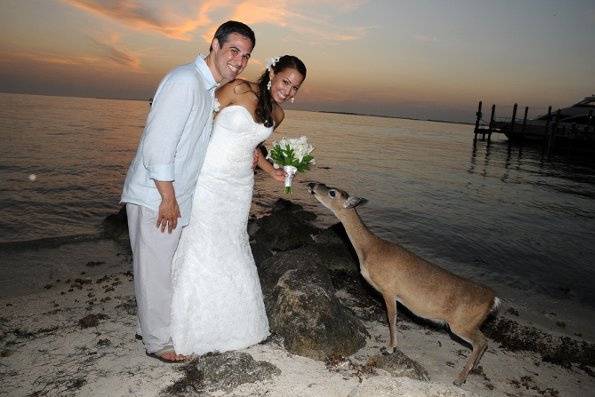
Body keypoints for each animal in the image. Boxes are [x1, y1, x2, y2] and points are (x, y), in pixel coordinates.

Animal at [310, 182, 500, 384]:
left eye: (332, 192)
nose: (312, 185)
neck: (369, 249)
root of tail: (493, 300)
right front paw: (390, 346)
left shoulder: (389, 289)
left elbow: (391, 317)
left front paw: (390, 347)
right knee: (484, 342)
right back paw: (470, 371)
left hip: (462, 323)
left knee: (481, 342)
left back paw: (460, 378)